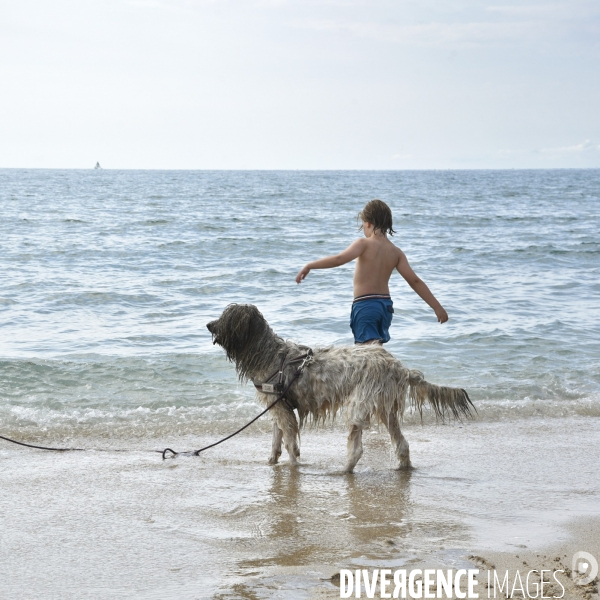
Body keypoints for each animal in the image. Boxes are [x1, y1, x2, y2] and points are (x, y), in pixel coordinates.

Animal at [206, 304, 474, 474]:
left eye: (226, 317)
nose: (208, 324)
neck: (269, 352)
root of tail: (399, 366)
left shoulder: (282, 409)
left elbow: (291, 445)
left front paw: (294, 469)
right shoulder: (279, 405)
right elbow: (277, 440)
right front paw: (271, 461)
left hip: (359, 404)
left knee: (357, 449)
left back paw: (343, 471)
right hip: (386, 409)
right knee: (402, 445)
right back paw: (402, 469)